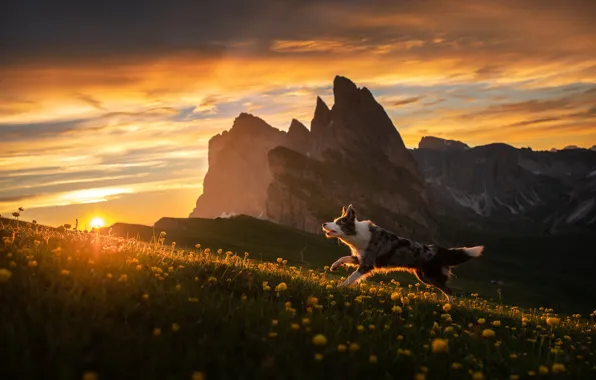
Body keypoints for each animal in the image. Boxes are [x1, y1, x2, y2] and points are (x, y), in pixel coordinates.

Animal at [322, 205, 484, 302]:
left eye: (339, 222)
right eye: (335, 220)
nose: (324, 224)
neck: (357, 234)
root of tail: (438, 250)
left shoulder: (367, 264)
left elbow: (351, 278)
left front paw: (339, 287)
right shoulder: (360, 258)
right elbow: (343, 258)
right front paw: (334, 266)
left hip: (430, 276)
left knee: (449, 290)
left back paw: (449, 306)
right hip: (423, 276)